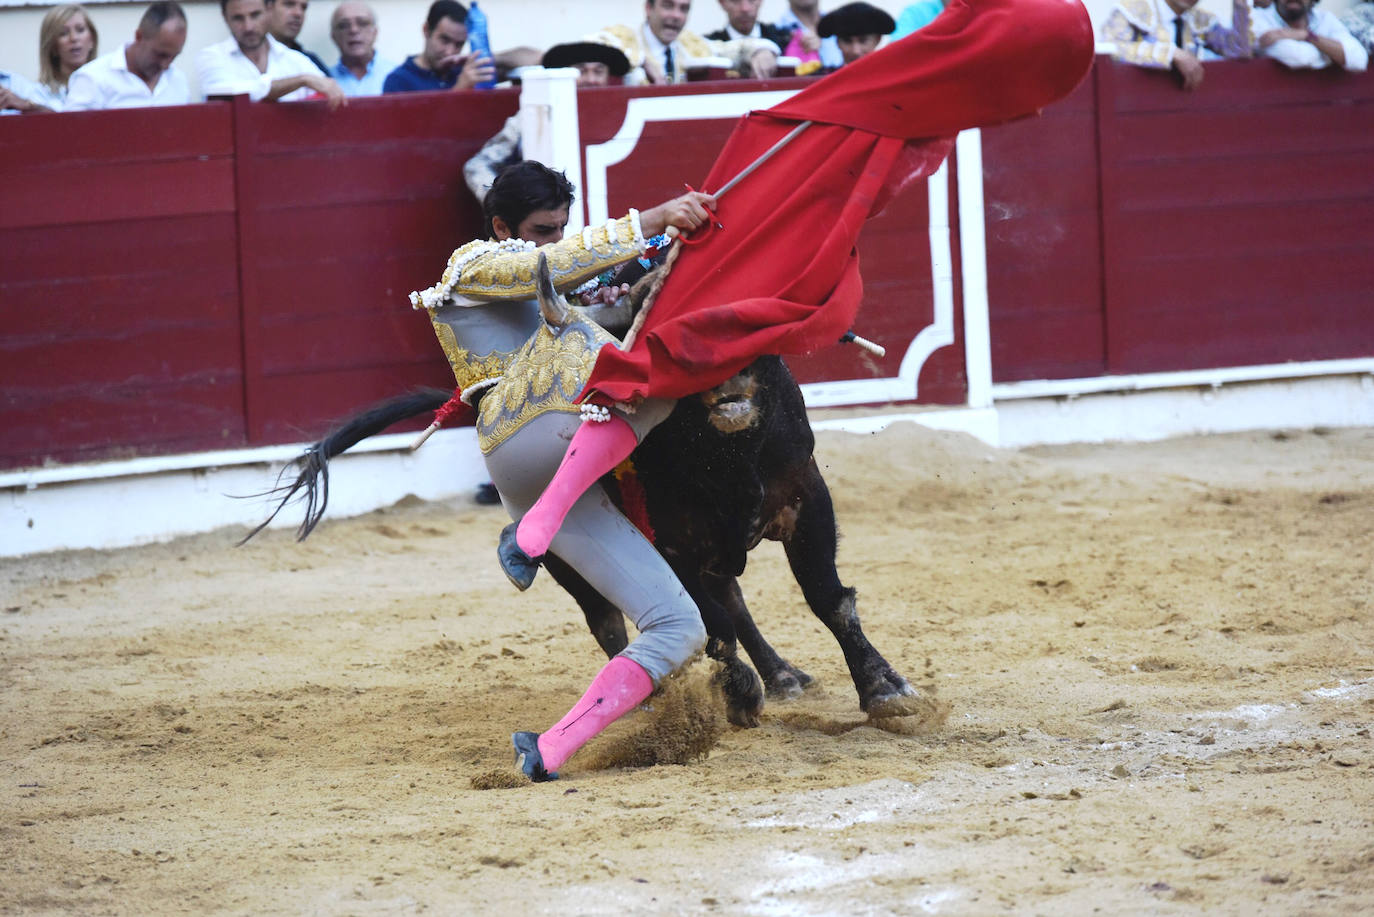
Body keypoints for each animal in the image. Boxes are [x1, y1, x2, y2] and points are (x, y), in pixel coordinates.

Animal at [250, 357, 923, 725]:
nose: (726, 380)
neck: (725, 454)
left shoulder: (805, 497)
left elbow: (827, 599)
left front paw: (884, 689)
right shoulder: (671, 544)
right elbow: (709, 626)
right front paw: (740, 697)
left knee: (731, 602)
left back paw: (783, 675)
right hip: (578, 561)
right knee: (618, 623)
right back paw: (659, 696)